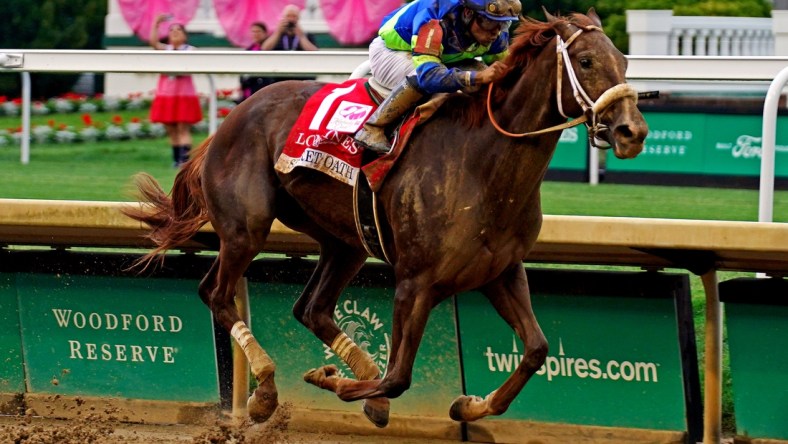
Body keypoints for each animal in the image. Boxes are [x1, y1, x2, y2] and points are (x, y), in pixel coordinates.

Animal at [124, 9, 648, 426]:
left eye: (624, 62)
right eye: (586, 61)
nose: (633, 132)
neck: (482, 164)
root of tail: (232, 118)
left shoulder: (500, 271)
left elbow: (536, 349)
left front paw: (468, 405)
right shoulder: (416, 282)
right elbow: (398, 377)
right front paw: (332, 380)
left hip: (344, 242)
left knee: (309, 308)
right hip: (244, 228)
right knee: (217, 293)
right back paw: (266, 393)